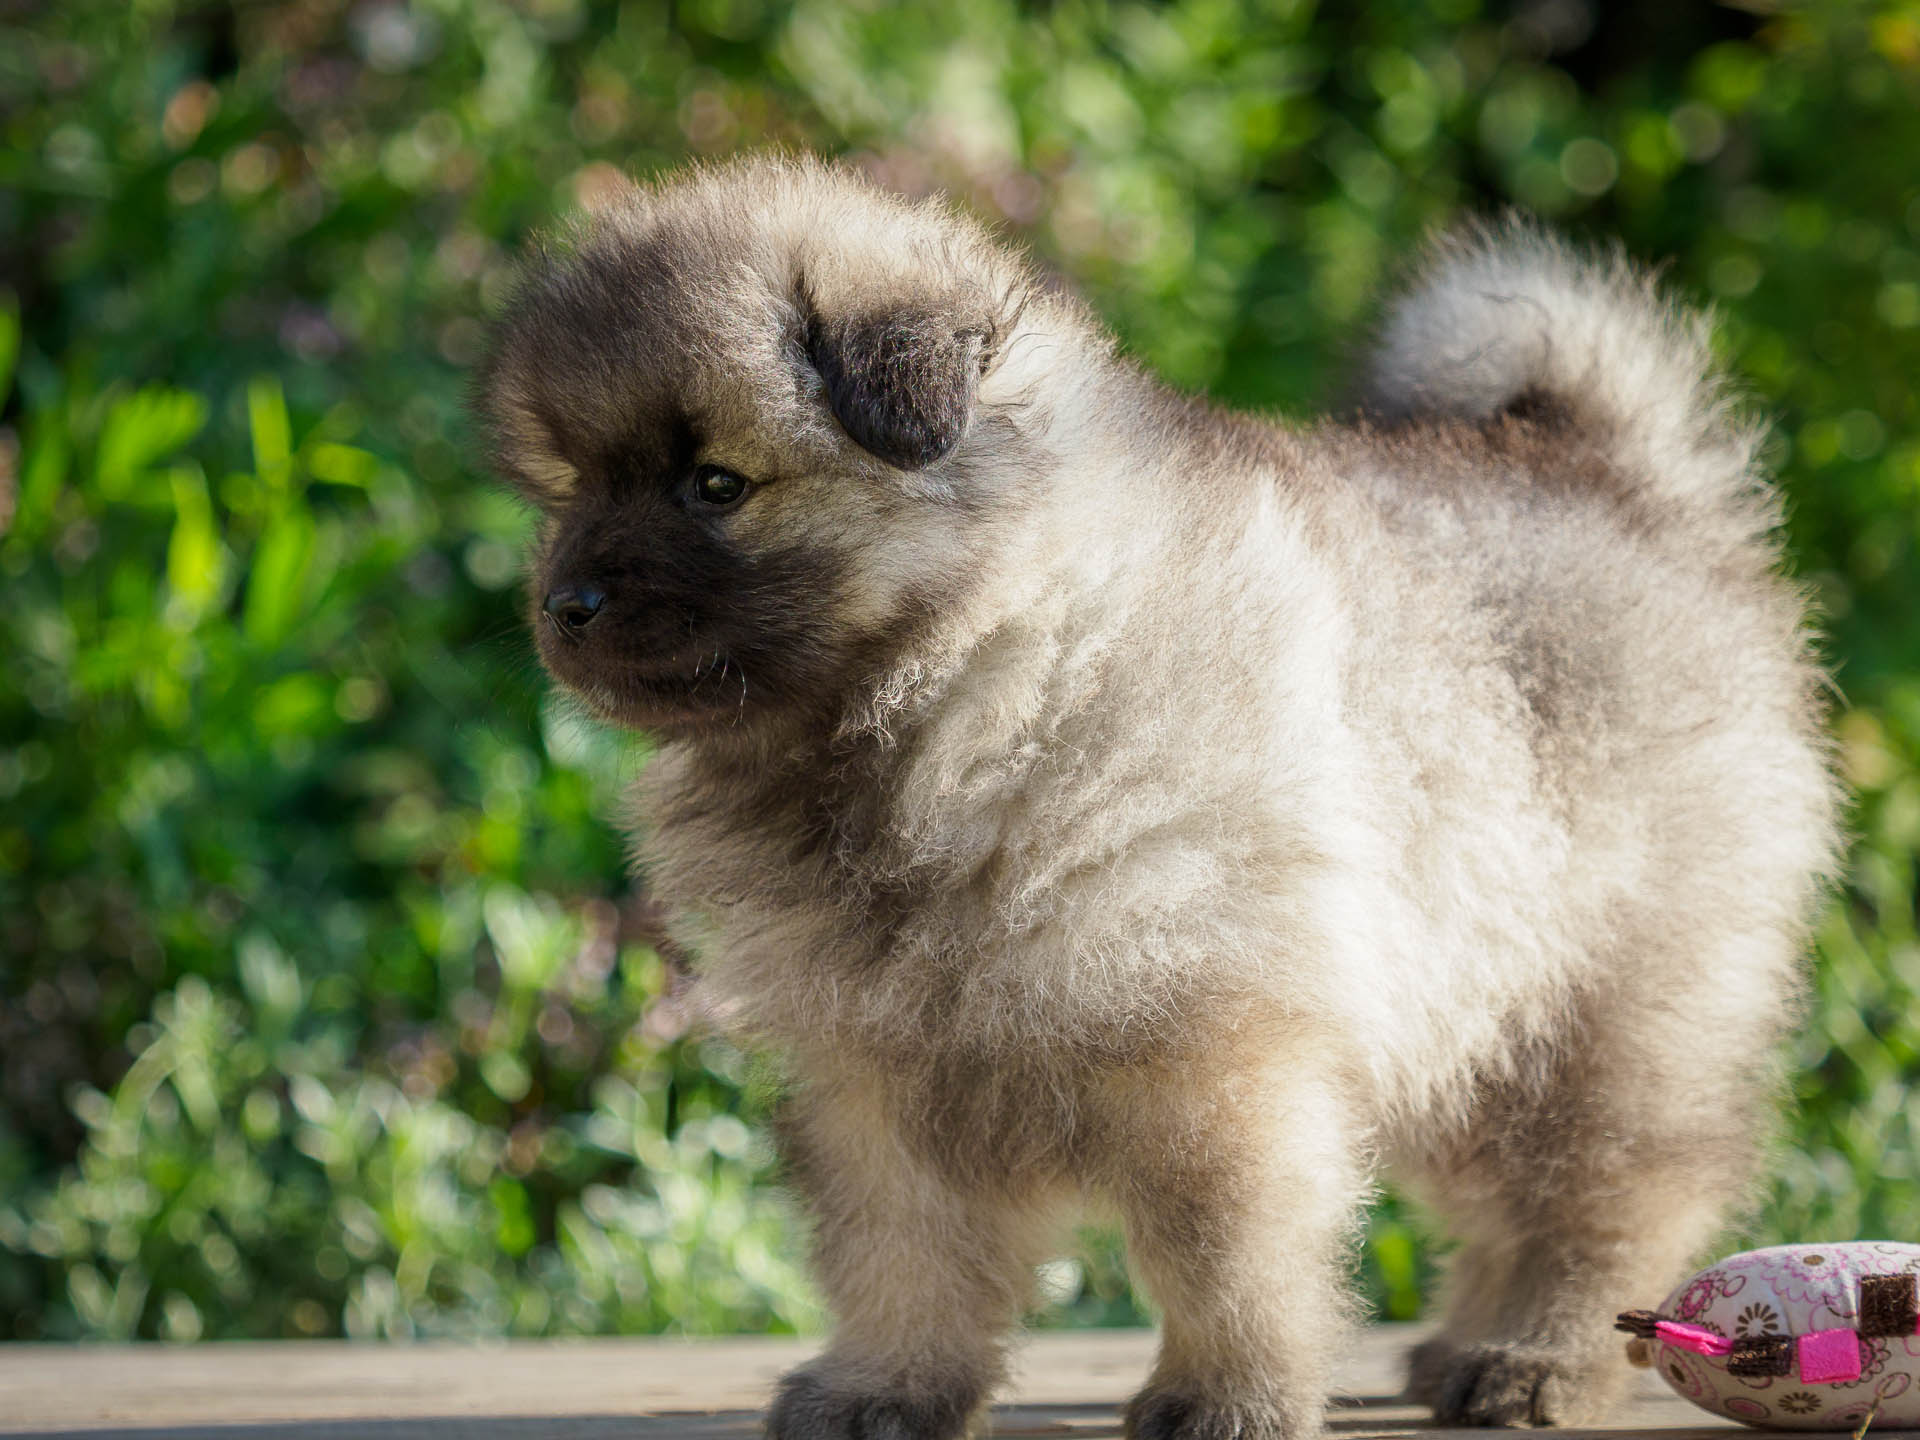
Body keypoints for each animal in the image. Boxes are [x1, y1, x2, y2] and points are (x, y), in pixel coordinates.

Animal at [472, 152, 1835, 1436]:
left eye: (715, 484)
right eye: (569, 489)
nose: (561, 608)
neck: (973, 670)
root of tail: (1618, 479)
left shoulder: (1208, 1049)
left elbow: (1220, 1253)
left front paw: (1230, 1397)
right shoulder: (874, 1064)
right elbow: (897, 1251)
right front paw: (884, 1386)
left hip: (1602, 1004)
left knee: (1610, 1192)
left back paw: (1538, 1356)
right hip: (1472, 1008)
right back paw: (1464, 1345)